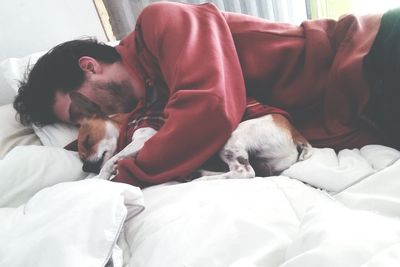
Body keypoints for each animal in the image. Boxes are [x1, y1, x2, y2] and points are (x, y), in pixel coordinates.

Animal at [71, 92, 312, 182]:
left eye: (88, 140)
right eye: (80, 156)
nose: (85, 167)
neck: (128, 121)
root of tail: (296, 133)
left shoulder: (145, 138)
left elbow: (112, 158)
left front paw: (102, 177)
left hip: (230, 137)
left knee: (243, 173)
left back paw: (201, 177)